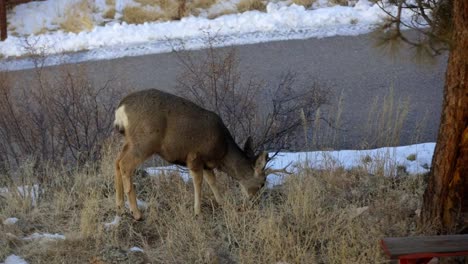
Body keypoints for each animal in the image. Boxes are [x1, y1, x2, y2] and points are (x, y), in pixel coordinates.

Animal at [114, 89, 270, 220]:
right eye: (263, 182)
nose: (255, 202)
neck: (223, 151)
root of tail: (121, 108)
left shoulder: (207, 164)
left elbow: (212, 181)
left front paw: (222, 203)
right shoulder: (195, 156)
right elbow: (198, 182)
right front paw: (197, 212)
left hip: (130, 140)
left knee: (117, 162)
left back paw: (120, 208)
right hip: (145, 141)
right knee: (125, 164)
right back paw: (136, 213)